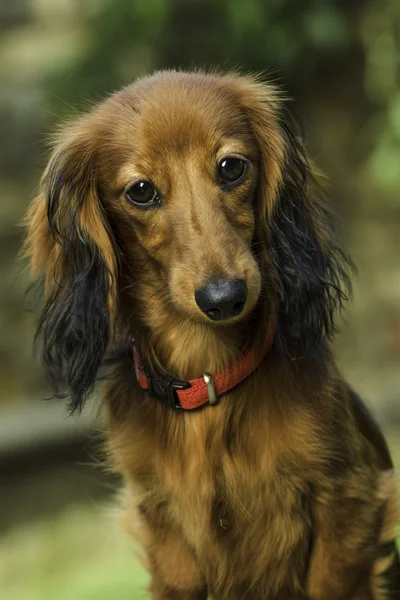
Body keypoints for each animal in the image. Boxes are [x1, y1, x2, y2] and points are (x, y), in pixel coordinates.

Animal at [25, 71, 400, 600]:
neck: (209, 378)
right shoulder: (166, 537)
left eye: (231, 167)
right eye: (141, 191)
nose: (225, 298)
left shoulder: (347, 502)